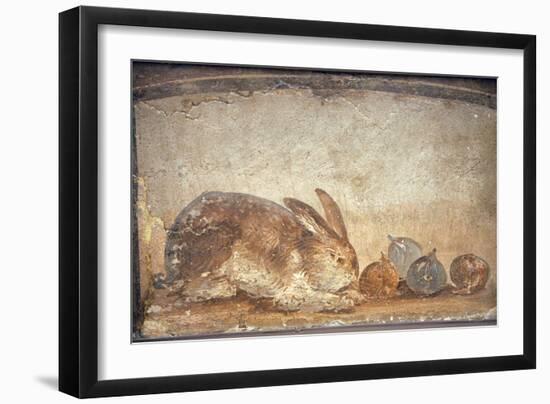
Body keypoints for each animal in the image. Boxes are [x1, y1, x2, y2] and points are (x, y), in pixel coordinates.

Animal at [161, 189, 362, 312]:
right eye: (337, 258)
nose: (352, 277)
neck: (306, 254)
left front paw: (354, 295)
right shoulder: (294, 286)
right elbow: (309, 297)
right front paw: (344, 301)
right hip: (217, 250)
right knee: (187, 289)